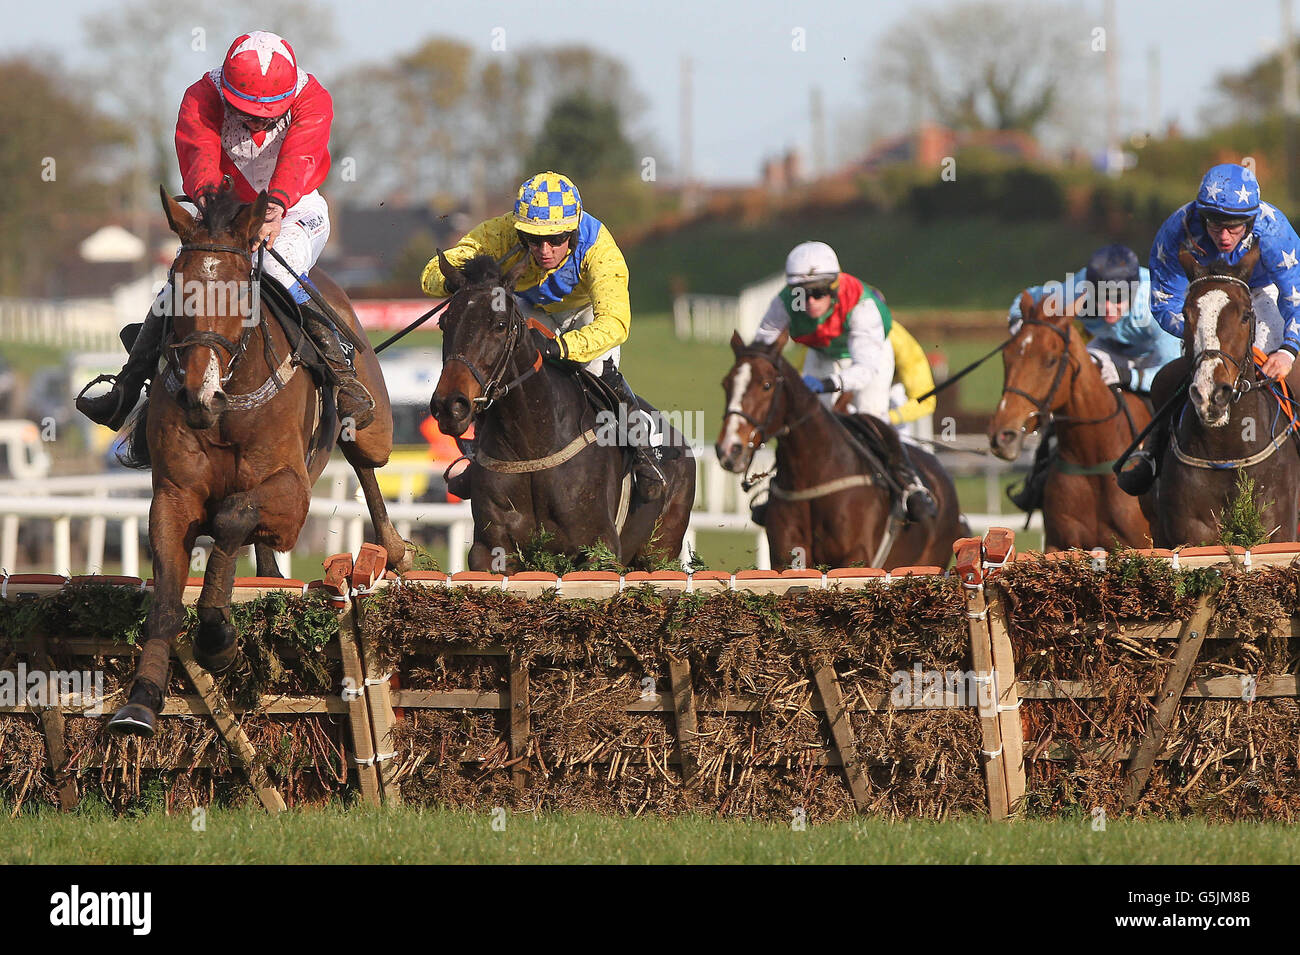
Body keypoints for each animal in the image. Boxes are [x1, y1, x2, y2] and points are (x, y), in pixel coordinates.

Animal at [112, 188, 416, 738]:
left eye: (238, 294)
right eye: (176, 290)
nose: (198, 395)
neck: (226, 407)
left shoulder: (292, 495)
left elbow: (232, 516)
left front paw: (217, 638)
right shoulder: (172, 495)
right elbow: (166, 597)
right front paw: (141, 700)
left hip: (374, 426)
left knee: (364, 463)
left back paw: (394, 547)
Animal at [426, 250, 696, 571]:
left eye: (500, 324)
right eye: (444, 322)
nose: (449, 405)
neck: (532, 445)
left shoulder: (598, 550)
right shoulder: (490, 550)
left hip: (660, 549)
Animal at [717, 328, 972, 566]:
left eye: (767, 385)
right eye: (726, 384)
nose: (729, 449)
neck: (812, 476)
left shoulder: (856, 556)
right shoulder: (786, 558)